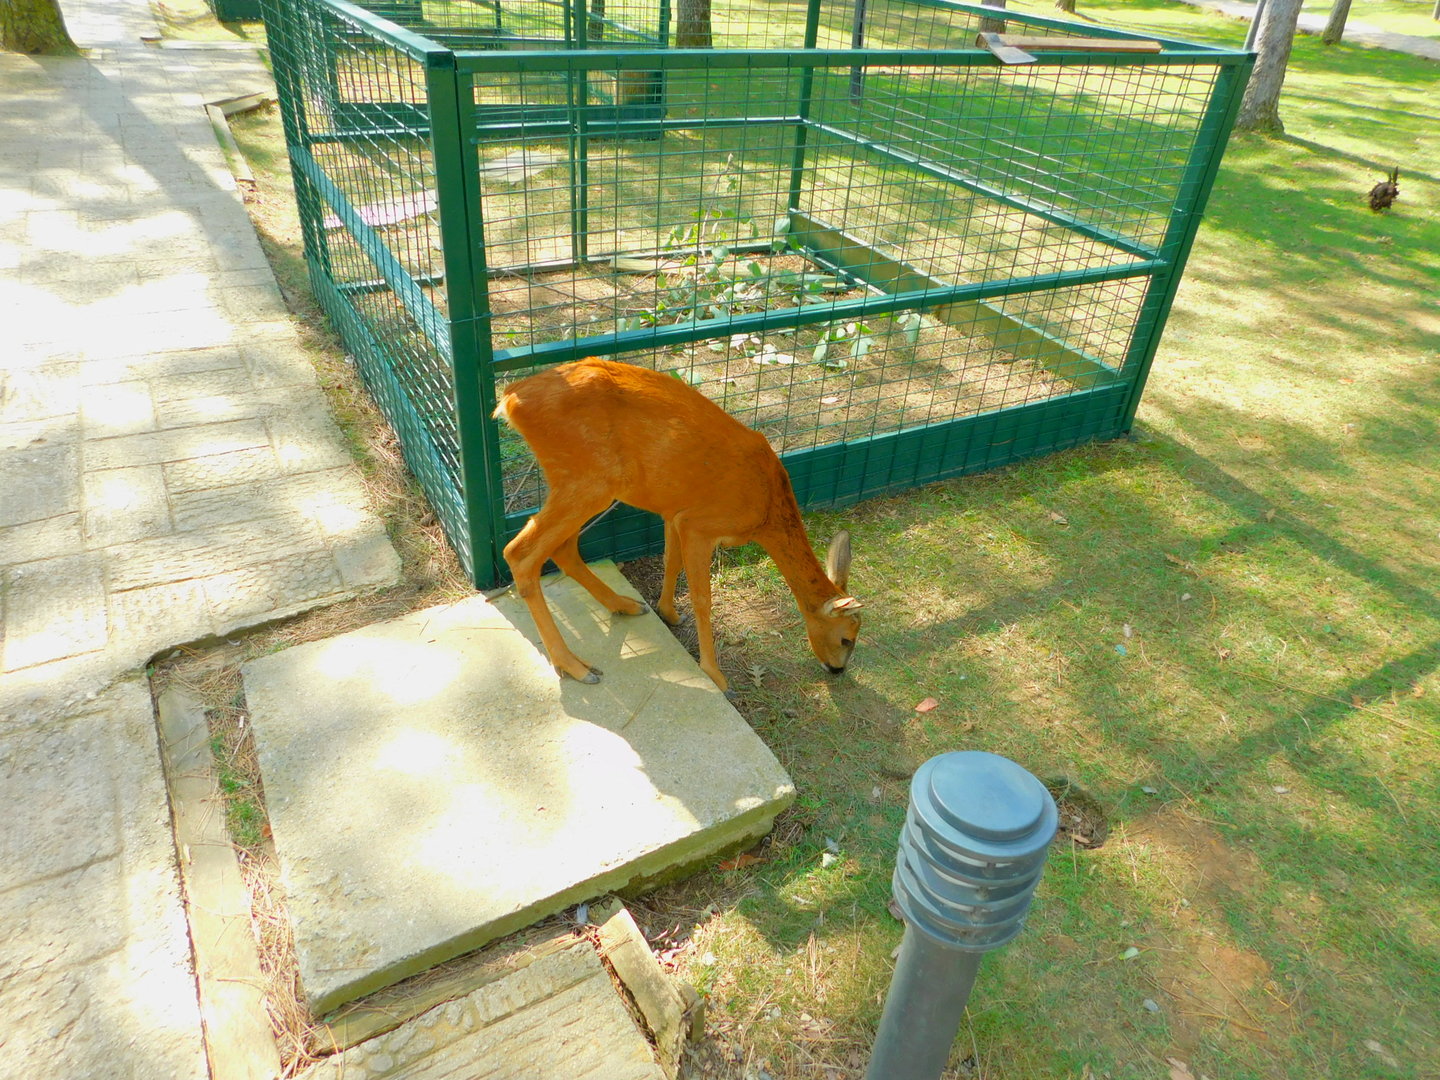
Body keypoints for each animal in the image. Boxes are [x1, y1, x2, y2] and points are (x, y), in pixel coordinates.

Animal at [495, 357, 861, 692]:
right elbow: (702, 598)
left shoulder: (675, 513)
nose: (837, 670)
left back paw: (625, 605)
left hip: (578, 483)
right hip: (588, 480)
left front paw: (668, 612)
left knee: (563, 548)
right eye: (847, 638)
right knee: (519, 552)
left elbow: (671, 562)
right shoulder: (701, 524)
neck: (765, 509)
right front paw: (715, 675)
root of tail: (509, 400)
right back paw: (576, 666)